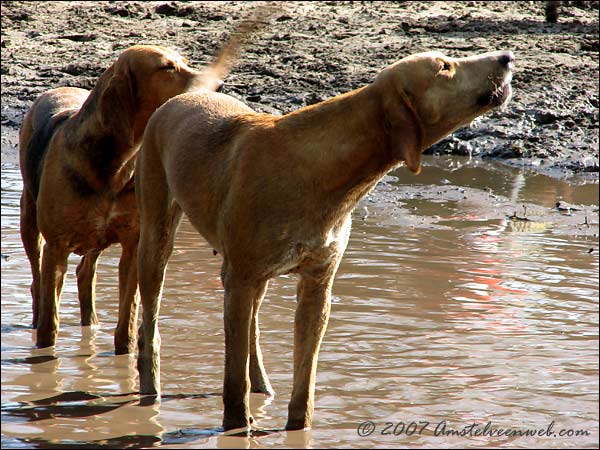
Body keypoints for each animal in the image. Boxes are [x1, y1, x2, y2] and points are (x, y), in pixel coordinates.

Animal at [137, 48, 516, 428]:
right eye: (444, 67)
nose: (507, 56)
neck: (325, 170)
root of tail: (182, 97)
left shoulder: (316, 285)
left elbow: (304, 383)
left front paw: (298, 428)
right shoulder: (242, 278)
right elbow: (233, 383)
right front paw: (237, 428)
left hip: (250, 280)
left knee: (251, 333)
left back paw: (261, 384)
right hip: (158, 242)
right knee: (151, 327)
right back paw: (150, 391)